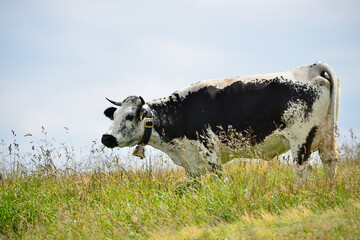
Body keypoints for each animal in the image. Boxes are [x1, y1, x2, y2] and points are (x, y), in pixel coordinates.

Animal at [101, 62, 340, 182]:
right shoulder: (193, 163)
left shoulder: (209, 152)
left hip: (301, 139)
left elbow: (219, 181)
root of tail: (310, 68)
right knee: (330, 162)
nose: (106, 137)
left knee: (304, 168)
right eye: (115, 116)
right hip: (327, 136)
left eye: (129, 116)